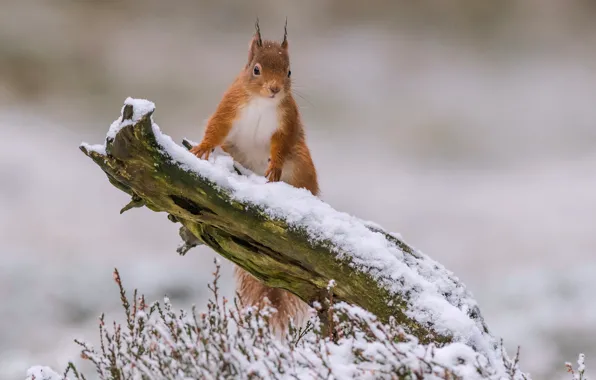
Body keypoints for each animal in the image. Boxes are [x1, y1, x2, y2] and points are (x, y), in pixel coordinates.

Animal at [193, 20, 318, 332]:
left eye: (289, 71)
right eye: (256, 69)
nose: (275, 89)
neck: (262, 102)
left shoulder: (286, 122)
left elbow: (280, 146)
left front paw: (274, 167)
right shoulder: (229, 107)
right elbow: (216, 128)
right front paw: (201, 148)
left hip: (302, 163)